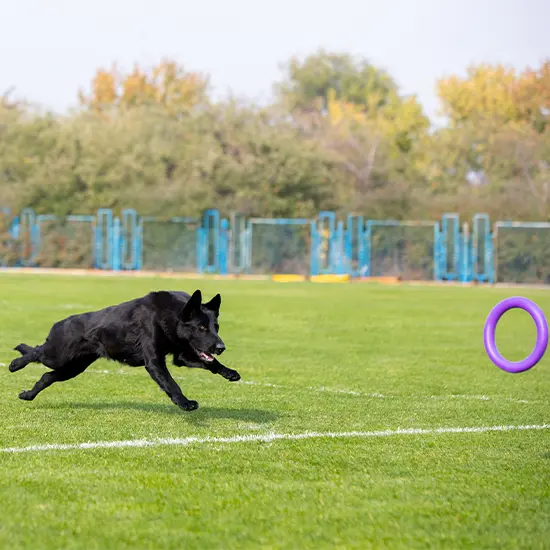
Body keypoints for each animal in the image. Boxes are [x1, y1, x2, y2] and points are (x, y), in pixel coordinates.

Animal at [8, 292, 242, 412]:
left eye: (216, 327)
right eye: (201, 327)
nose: (221, 348)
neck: (171, 316)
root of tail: (60, 323)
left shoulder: (181, 356)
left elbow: (211, 364)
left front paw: (229, 372)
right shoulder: (154, 362)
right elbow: (171, 383)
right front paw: (184, 403)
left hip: (72, 368)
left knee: (46, 377)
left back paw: (27, 395)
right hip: (57, 356)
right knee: (36, 352)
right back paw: (14, 364)